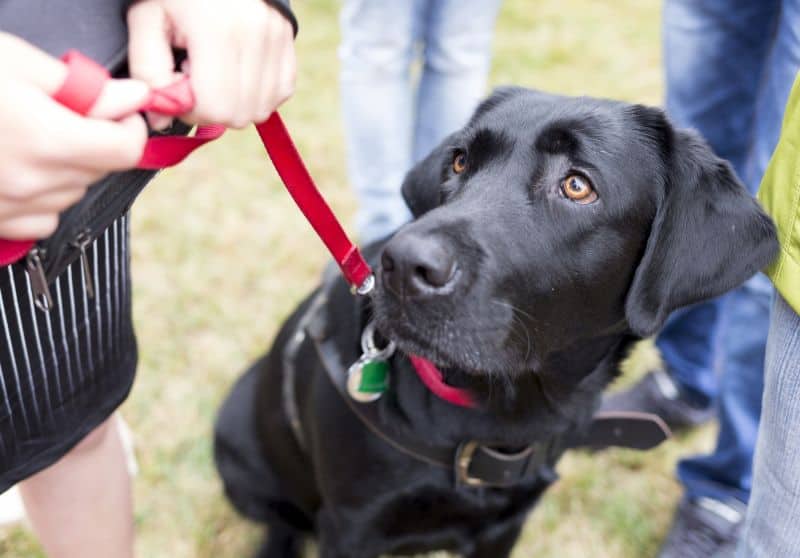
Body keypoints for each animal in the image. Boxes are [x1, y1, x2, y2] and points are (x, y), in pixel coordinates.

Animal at [216, 88, 780, 558]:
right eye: (459, 161)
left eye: (578, 185)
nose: (402, 266)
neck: (503, 414)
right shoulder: (351, 527)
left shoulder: (505, 526)